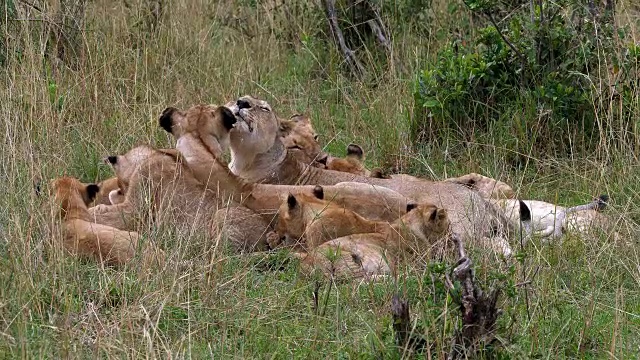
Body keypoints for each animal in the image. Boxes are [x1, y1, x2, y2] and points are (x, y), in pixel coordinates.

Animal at [228, 96, 516, 258]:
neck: (244, 159)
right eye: (240, 99)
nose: (241, 102)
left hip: (456, 227)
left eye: (264, 107)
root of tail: (478, 198)